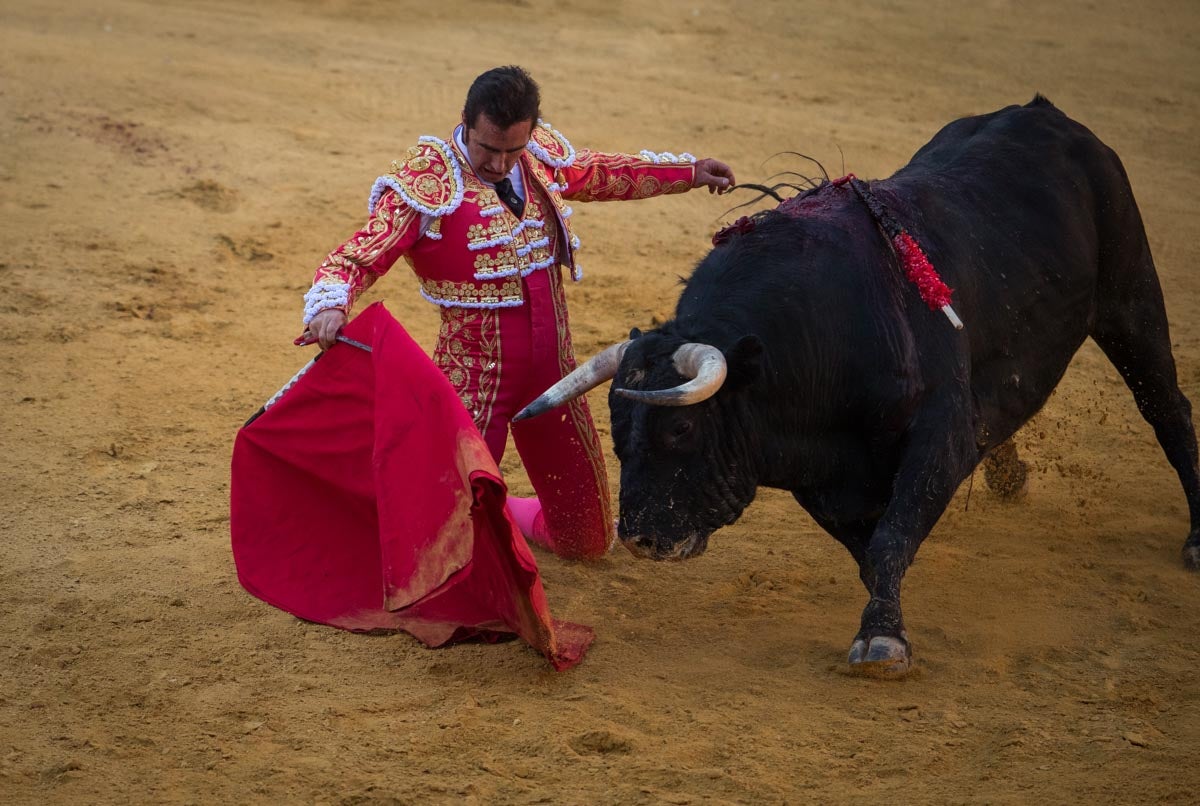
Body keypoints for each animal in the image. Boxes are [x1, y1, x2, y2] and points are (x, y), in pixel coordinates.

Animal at [518, 98, 1200, 681]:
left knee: (1166, 406)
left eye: (681, 426)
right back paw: (1011, 474)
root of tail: (1049, 116)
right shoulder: (818, 474)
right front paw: (886, 620)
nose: (639, 539)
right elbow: (871, 548)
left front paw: (883, 641)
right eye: (616, 429)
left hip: (1130, 294)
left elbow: (894, 534)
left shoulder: (940, 435)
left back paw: (1194, 541)